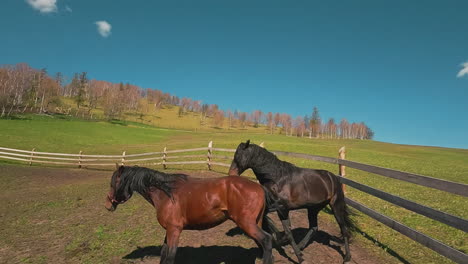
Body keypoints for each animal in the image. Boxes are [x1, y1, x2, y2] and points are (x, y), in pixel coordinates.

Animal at [105, 165, 274, 264]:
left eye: (114, 182)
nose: (107, 204)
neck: (166, 194)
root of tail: (259, 188)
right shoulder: (169, 230)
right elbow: (163, 253)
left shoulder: (174, 230)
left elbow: (170, 256)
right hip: (254, 223)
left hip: (246, 223)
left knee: (266, 241)